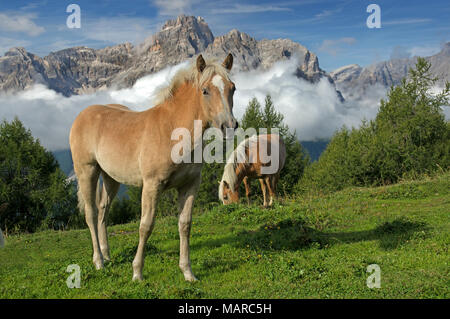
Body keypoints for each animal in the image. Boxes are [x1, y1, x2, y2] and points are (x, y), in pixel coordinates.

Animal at [69, 53, 237, 282]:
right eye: (205, 90)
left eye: (232, 88)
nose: (229, 126)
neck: (172, 131)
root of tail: (82, 115)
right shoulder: (152, 186)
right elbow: (145, 226)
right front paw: (137, 272)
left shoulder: (190, 185)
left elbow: (185, 225)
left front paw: (188, 272)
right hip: (87, 171)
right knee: (91, 213)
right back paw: (99, 262)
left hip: (111, 178)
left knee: (104, 210)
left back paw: (107, 255)